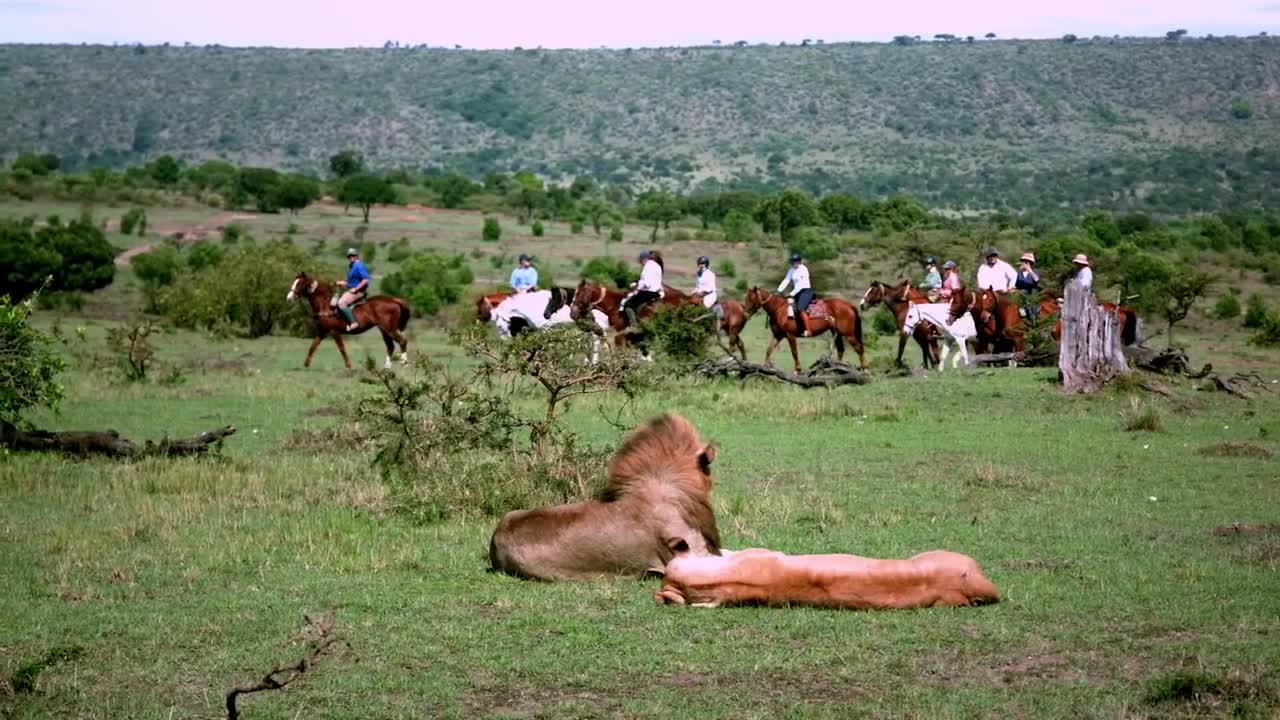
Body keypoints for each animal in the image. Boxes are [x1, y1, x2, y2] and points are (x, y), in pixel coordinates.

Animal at [742, 286, 870, 371]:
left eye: (751, 298)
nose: (745, 313)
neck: (779, 309)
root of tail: (849, 305)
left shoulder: (790, 336)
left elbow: (794, 352)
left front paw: (797, 370)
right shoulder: (778, 336)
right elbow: (769, 350)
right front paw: (764, 367)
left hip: (849, 334)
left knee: (859, 348)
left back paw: (865, 369)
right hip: (837, 332)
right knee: (841, 349)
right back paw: (838, 367)